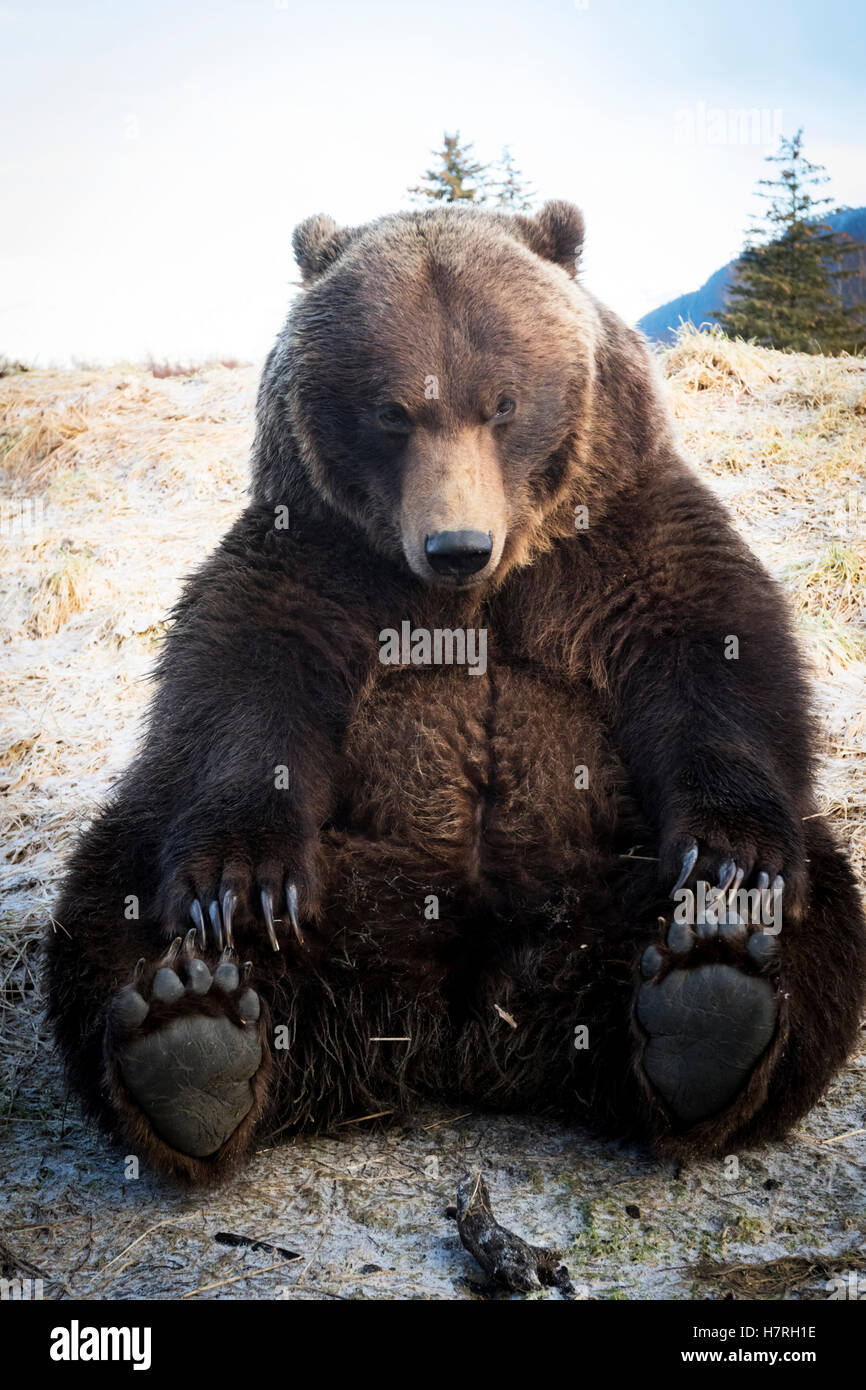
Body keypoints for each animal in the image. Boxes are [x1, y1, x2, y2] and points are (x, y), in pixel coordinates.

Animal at [45, 199, 866, 1186]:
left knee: (820, 925)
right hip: (355, 880)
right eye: (392, 411)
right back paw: (190, 1036)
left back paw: (709, 1003)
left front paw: (732, 862)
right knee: (107, 900)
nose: (456, 546)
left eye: (502, 402)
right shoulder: (315, 563)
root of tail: (461, 1033)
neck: (475, 596)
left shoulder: (619, 543)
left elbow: (714, 658)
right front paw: (240, 888)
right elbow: (239, 695)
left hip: (595, 876)